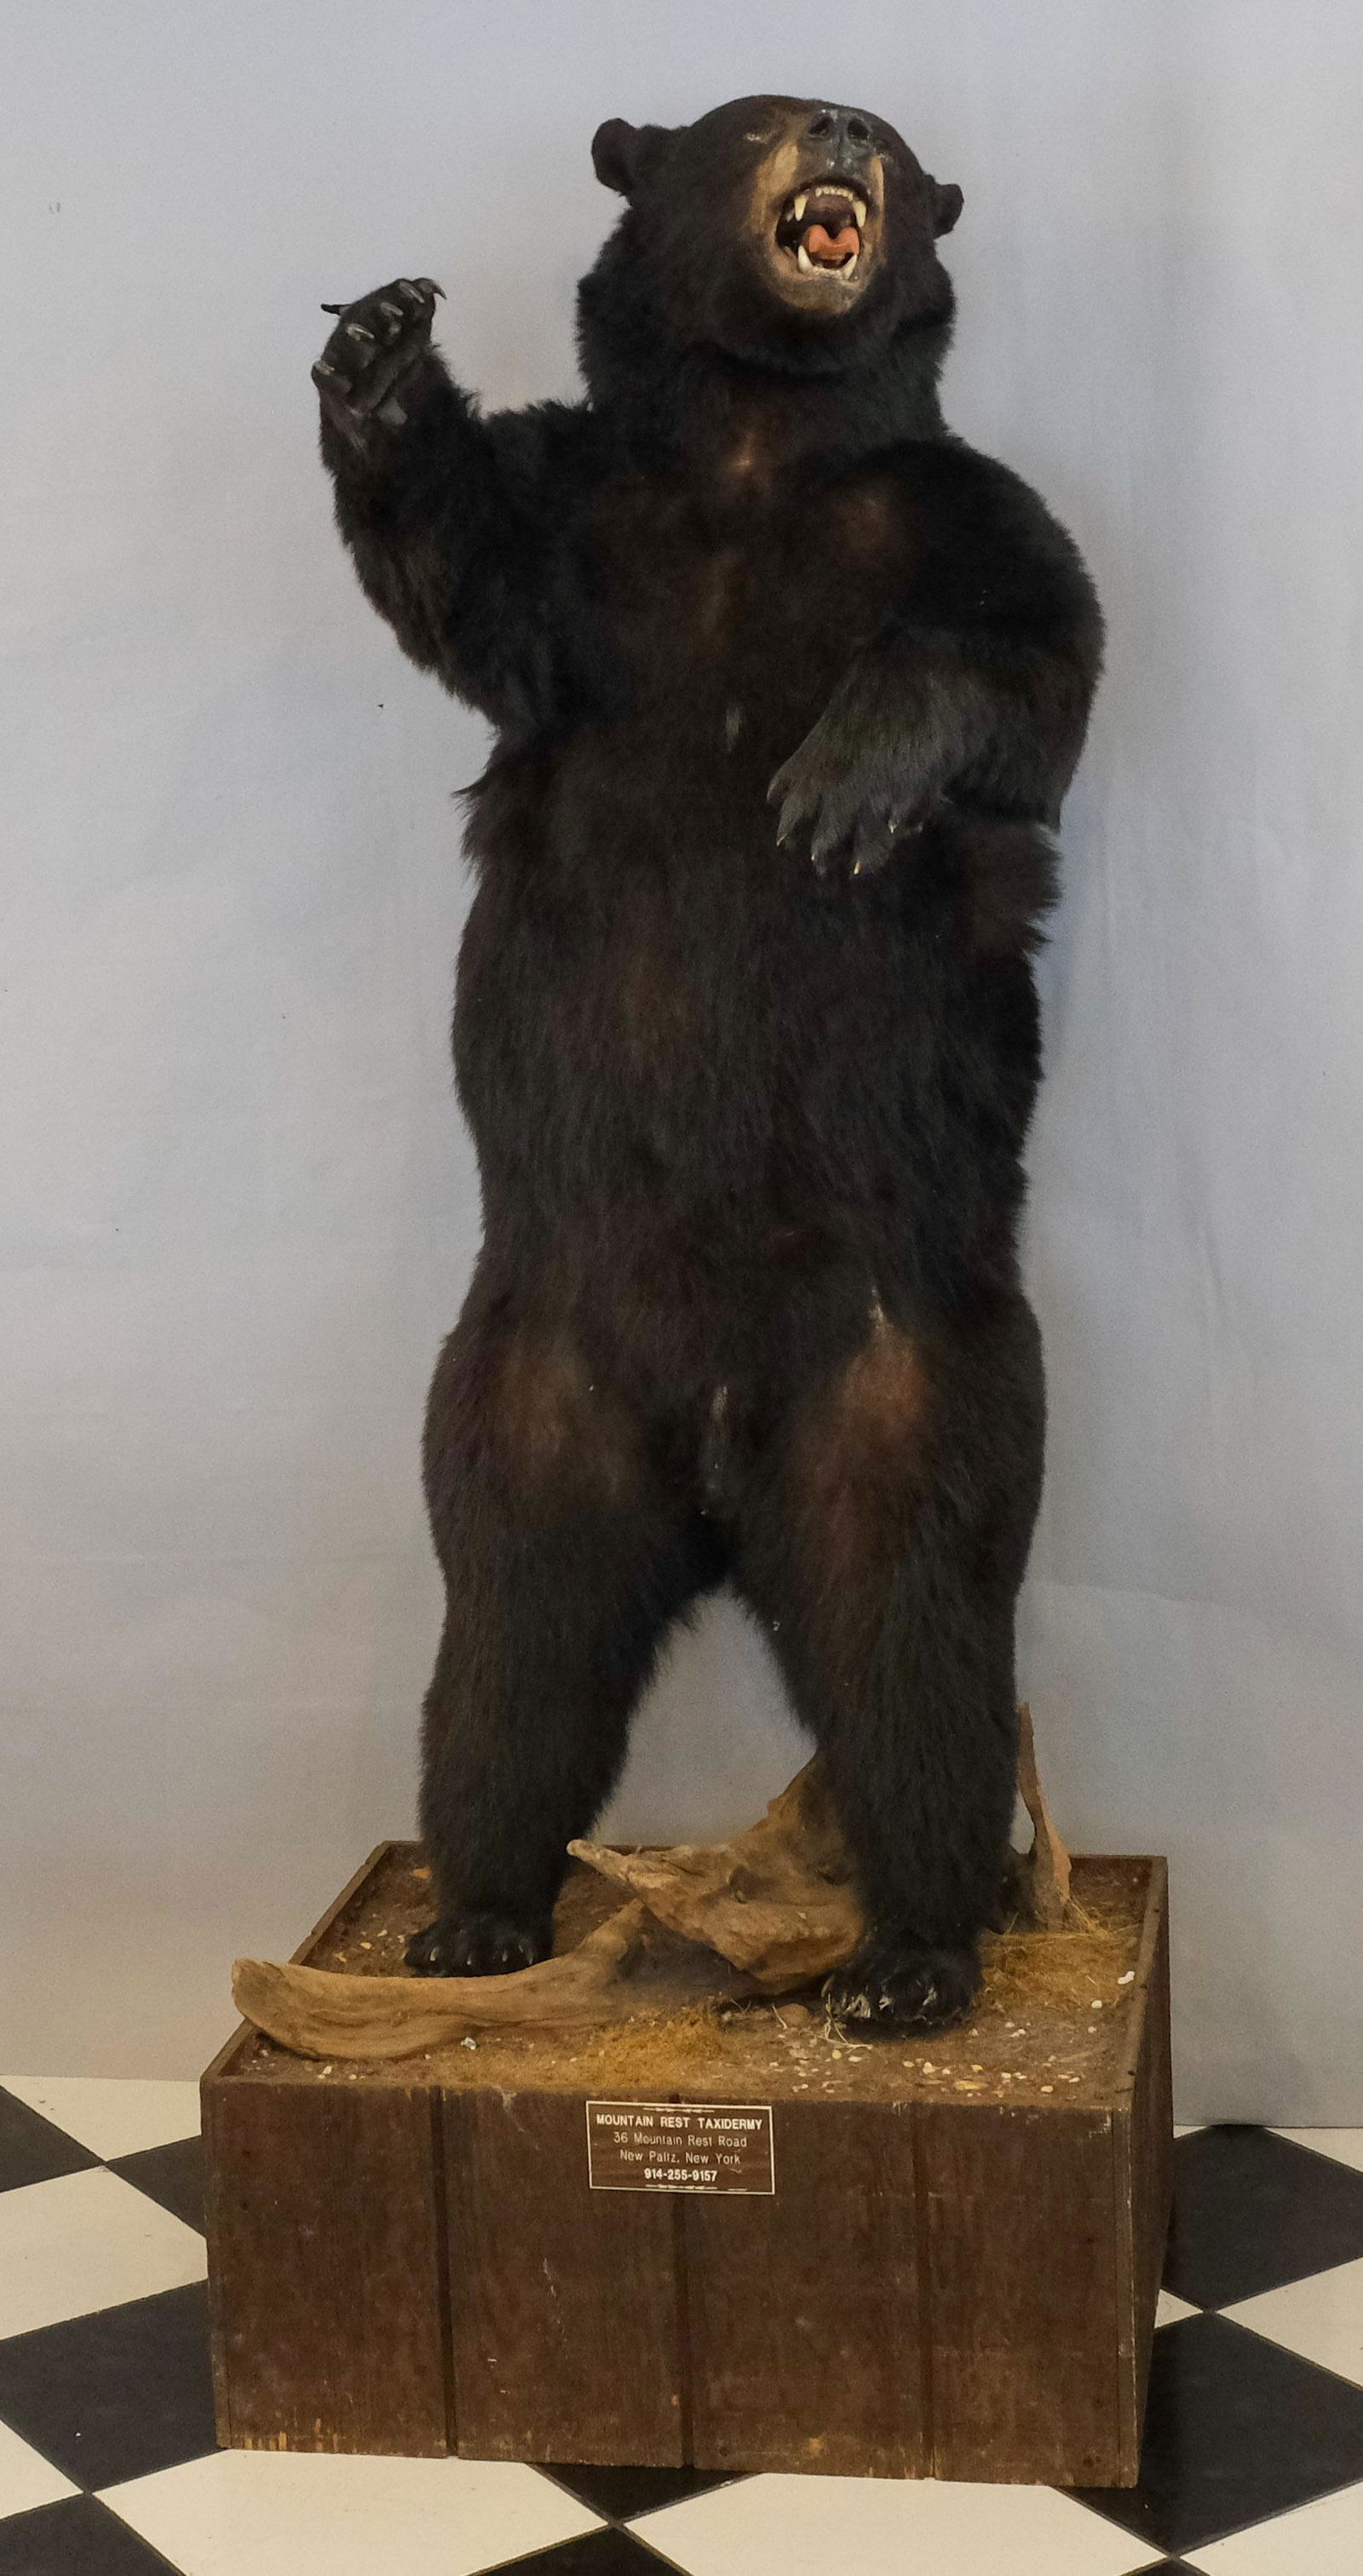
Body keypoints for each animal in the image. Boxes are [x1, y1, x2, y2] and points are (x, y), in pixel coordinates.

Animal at [312, 94, 1102, 2030]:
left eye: (887, 133)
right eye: (751, 120)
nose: (837, 136)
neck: (754, 453)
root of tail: (723, 1465)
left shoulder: (972, 512)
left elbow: (1032, 659)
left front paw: (837, 782)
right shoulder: (584, 527)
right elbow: (467, 586)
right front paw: (379, 353)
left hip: (914, 1391)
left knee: (916, 1656)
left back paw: (906, 1956)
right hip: (519, 1398)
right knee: (509, 1656)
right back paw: (472, 1913)